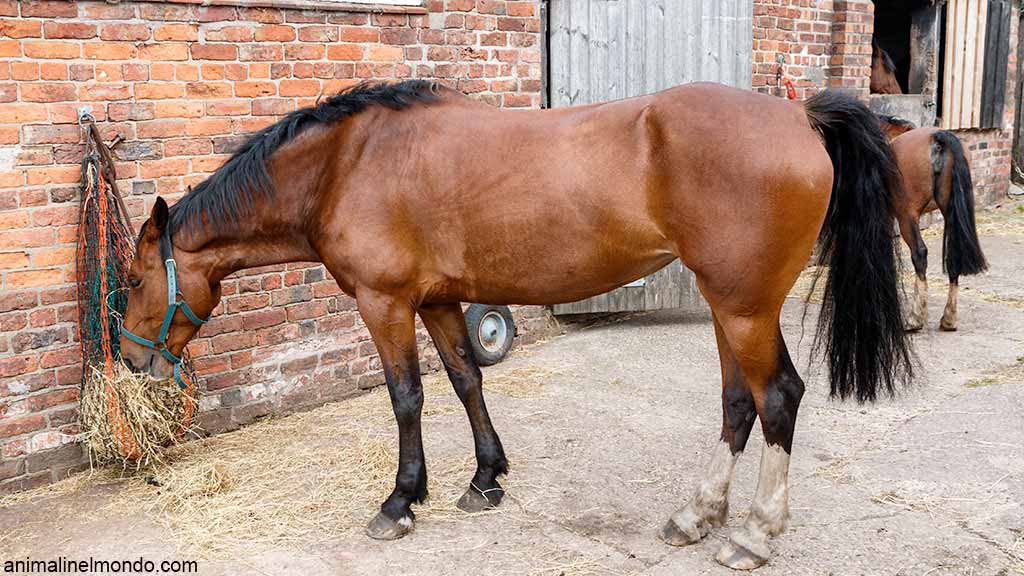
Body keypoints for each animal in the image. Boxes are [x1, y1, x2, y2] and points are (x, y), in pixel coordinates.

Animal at [120, 80, 913, 570]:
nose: (132, 362)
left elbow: (406, 398)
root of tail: (800, 117)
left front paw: (401, 502)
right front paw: (485, 478)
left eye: (130, 280)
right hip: (728, 307)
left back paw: (753, 535)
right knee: (738, 404)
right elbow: (467, 380)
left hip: (745, 309)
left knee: (778, 398)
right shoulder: (438, 301)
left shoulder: (386, 304)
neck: (346, 164)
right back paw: (697, 516)